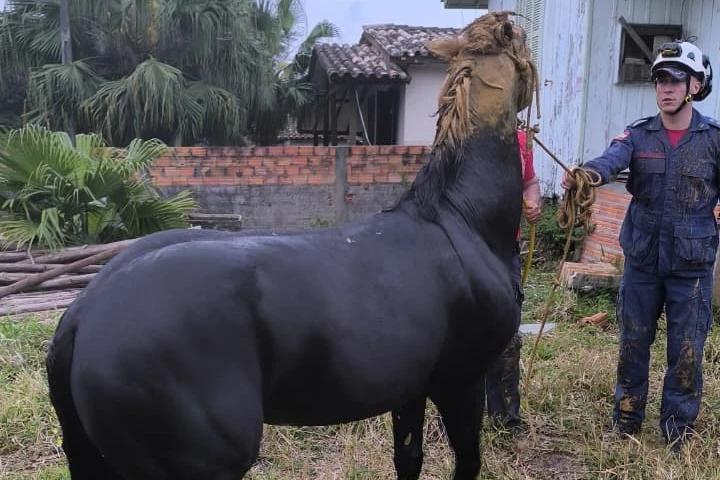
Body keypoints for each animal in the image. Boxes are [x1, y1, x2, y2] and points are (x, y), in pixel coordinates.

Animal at [46, 11, 536, 480]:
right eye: (524, 47)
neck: (461, 217)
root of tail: (80, 317)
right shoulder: (461, 382)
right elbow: (467, 463)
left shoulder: (412, 390)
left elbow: (409, 460)